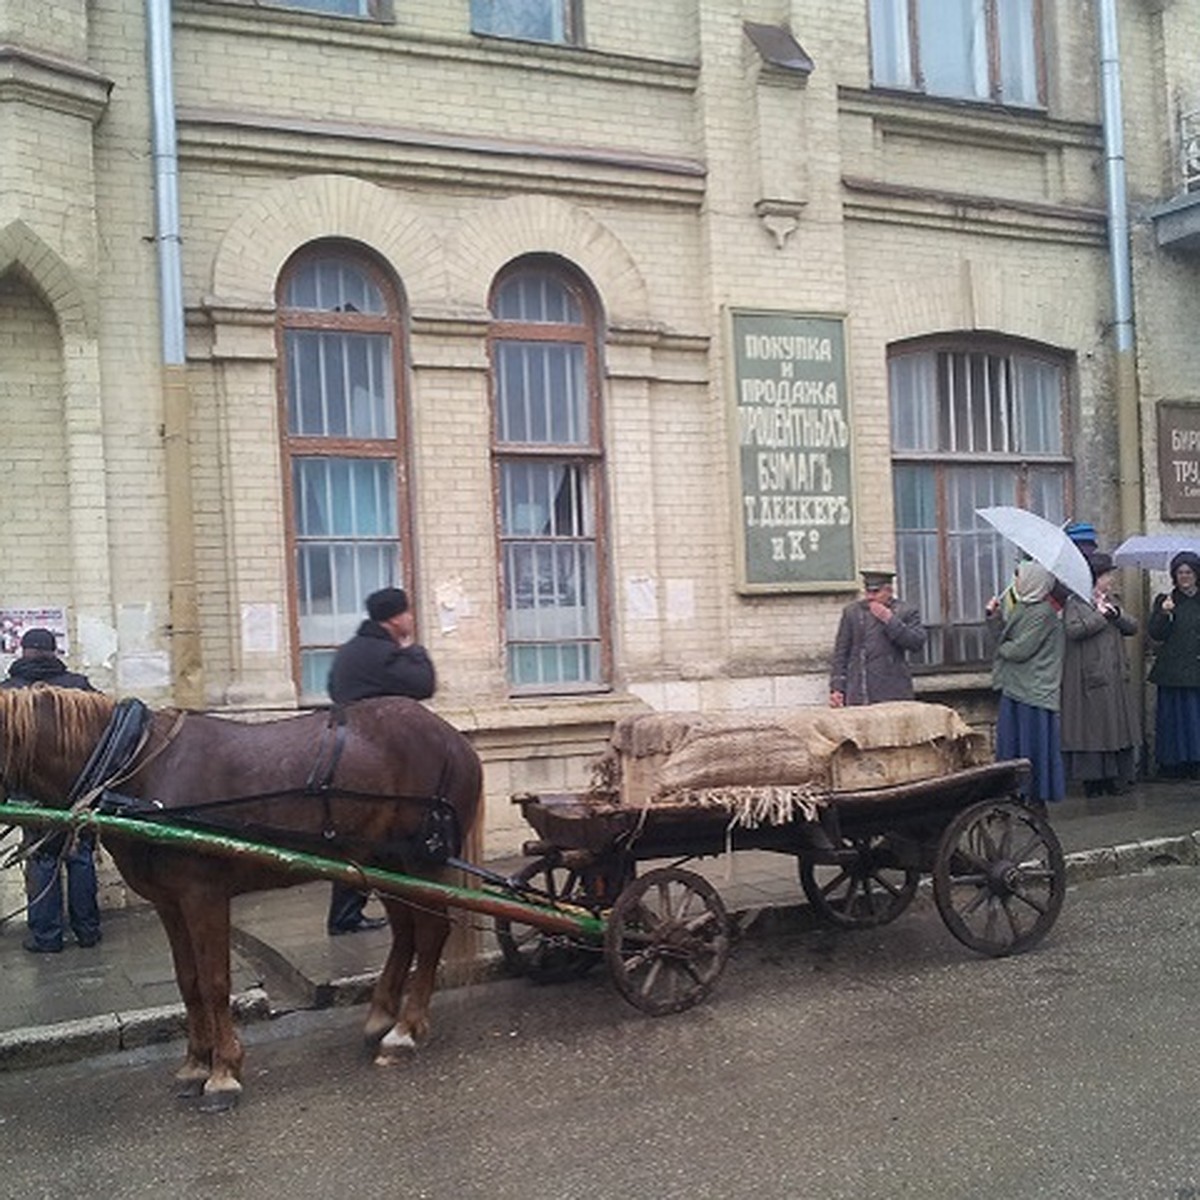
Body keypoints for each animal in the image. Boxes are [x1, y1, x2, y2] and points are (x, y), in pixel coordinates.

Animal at [1, 691, 477, 1108]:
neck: (134, 764)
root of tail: (453, 737)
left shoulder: (203, 895)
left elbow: (214, 983)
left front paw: (223, 1073)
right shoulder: (169, 904)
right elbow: (188, 982)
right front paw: (195, 1065)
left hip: (419, 860)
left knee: (431, 933)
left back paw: (405, 1032)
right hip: (384, 861)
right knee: (406, 931)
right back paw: (382, 1018)